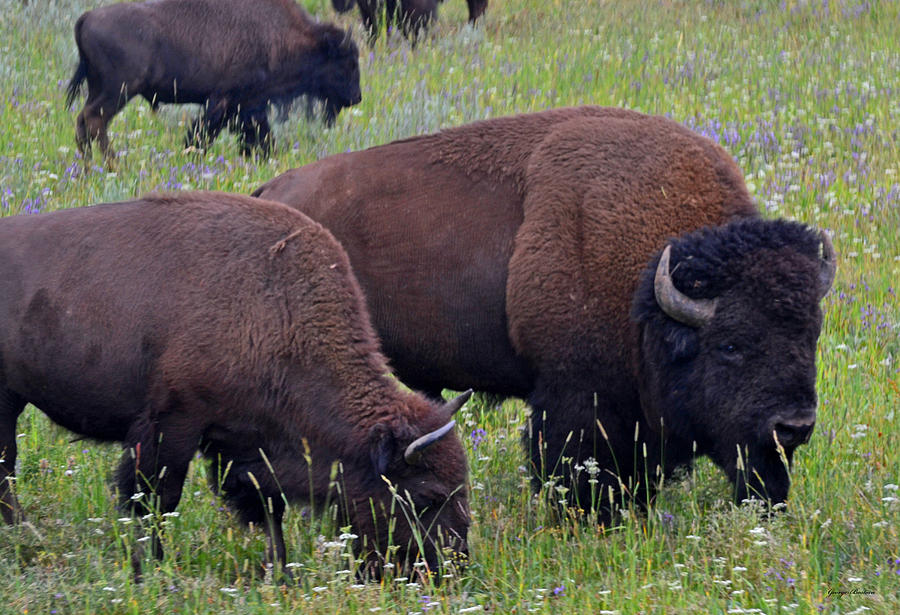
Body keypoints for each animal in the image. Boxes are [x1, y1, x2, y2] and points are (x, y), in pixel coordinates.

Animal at [1, 194, 472, 584]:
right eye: (427, 495)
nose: (449, 569)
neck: (277, 308)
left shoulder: (248, 445)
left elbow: (268, 507)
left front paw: (281, 573)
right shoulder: (175, 423)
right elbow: (155, 499)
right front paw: (147, 570)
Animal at [64, 0, 362, 164]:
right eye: (346, 62)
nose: (356, 97)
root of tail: (86, 17)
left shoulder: (246, 107)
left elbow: (260, 137)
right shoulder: (226, 102)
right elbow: (203, 135)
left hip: (99, 89)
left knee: (83, 123)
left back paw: (90, 168)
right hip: (118, 91)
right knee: (94, 120)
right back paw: (114, 165)